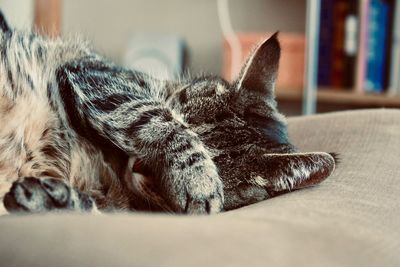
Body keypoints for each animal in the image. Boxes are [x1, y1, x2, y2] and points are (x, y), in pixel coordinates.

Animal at [0, 13, 338, 216]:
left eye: (220, 166)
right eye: (179, 114)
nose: (138, 165)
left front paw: (52, 200)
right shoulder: (94, 73)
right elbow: (152, 116)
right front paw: (197, 179)